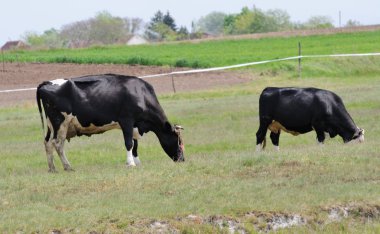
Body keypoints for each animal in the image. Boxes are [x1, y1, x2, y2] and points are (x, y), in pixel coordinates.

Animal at [36, 73, 185, 172]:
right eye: (178, 141)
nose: (182, 159)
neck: (141, 94)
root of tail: (47, 83)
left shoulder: (134, 125)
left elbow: (135, 145)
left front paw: (137, 162)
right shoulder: (127, 120)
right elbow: (129, 143)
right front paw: (131, 164)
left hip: (51, 125)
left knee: (47, 143)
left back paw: (52, 168)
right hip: (60, 122)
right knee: (57, 144)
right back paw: (67, 167)